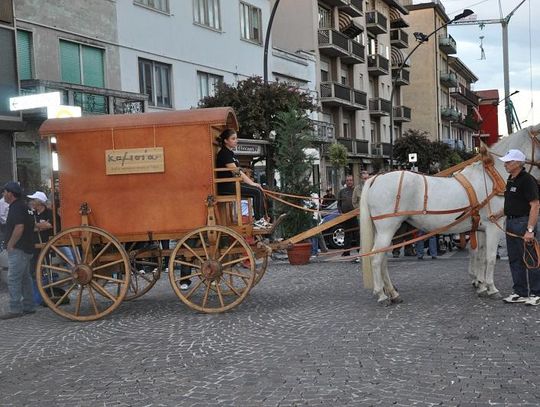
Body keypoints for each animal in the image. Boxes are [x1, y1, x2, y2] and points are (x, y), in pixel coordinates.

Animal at [358, 124, 540, 306]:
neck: (492, 177)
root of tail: (375, 178)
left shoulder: (481, 228)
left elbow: (480, 256)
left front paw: (481, 286)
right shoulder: (493, 225)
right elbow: (490, 258)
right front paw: (491, 288)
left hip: (384, 230)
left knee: (382, 260)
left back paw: (392, 293)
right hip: (387, 228)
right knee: (376, 259)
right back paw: (381, 295)